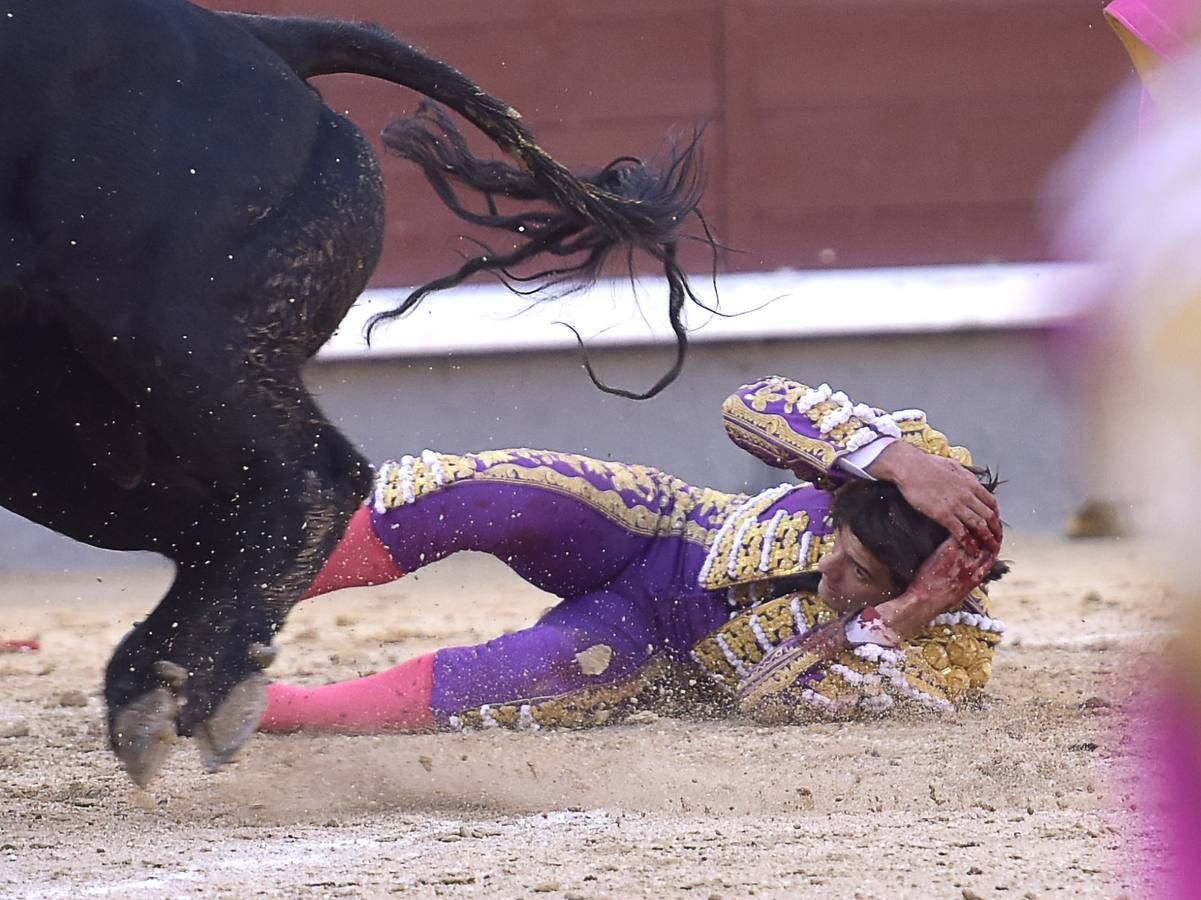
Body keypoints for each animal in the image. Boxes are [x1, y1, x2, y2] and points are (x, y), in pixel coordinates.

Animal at [0, 0, 706, 783]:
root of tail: (256, 35)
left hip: (171, 334)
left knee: (311, 476)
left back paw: (172, 690)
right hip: (52, 421)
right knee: (221, 515)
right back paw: (178, 685)